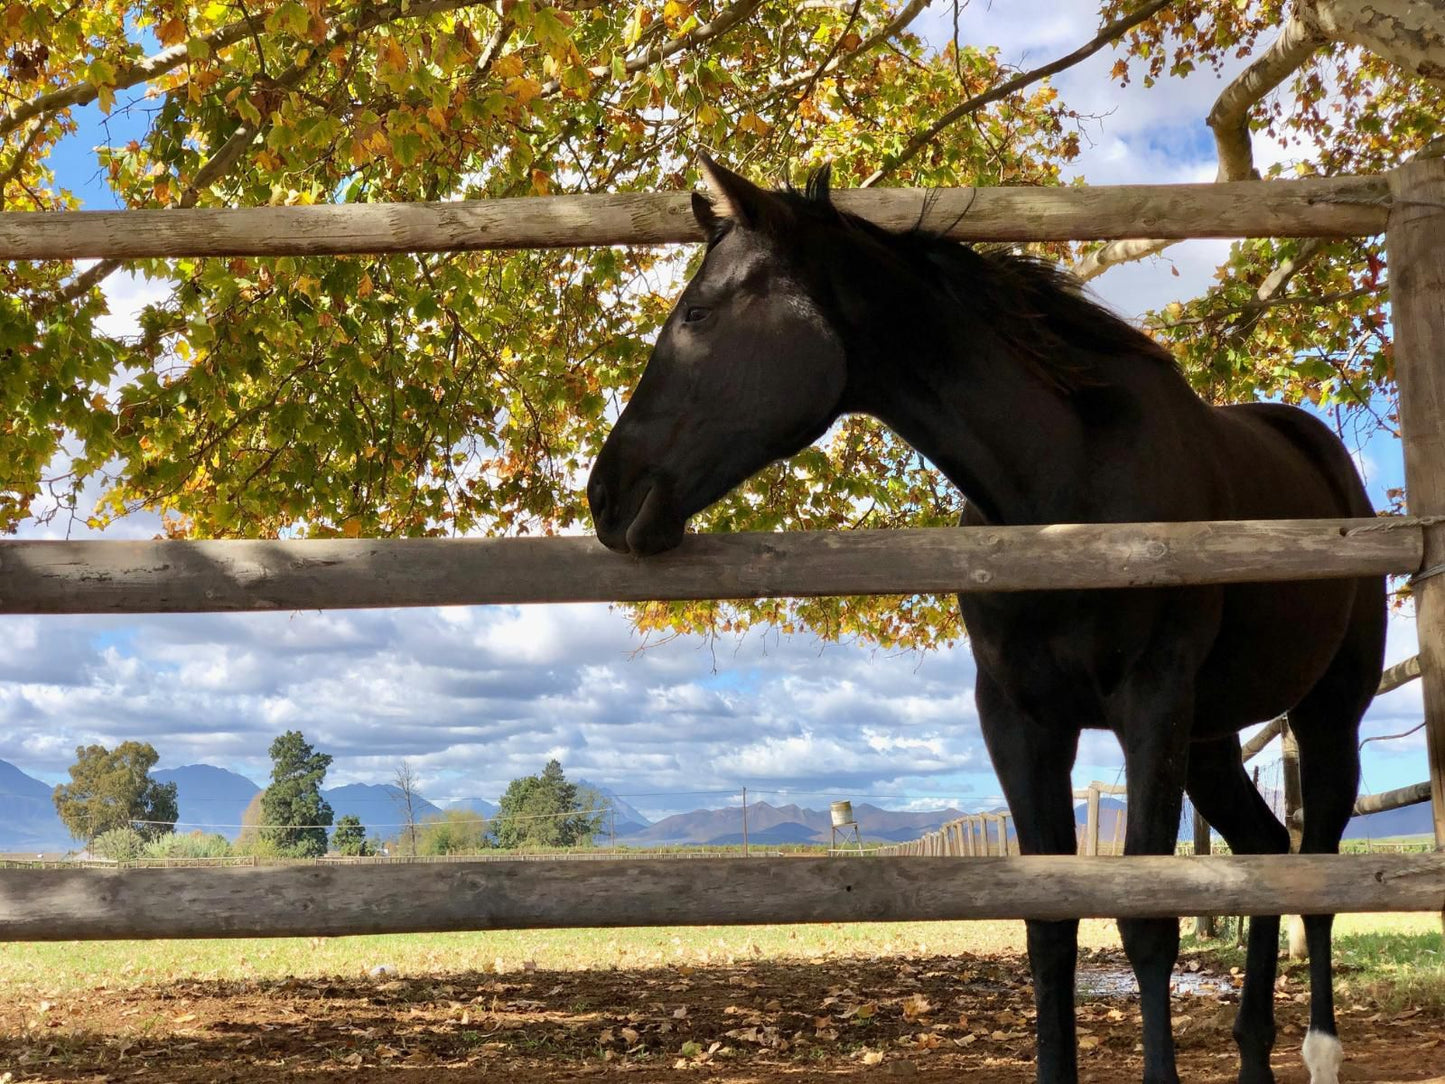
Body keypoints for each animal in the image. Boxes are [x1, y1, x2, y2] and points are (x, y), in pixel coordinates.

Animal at [586, 158, 1387, 1084]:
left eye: (697, 315)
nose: (605, 496)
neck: (1063, 489)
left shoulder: (1148, 703)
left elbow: (1147, 922)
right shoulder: (1019, 719)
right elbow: (1048, 926)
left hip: (1323, 716)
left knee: (1317, 871)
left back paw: (1319, 1048)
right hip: (1209, 742)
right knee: (1263, 855)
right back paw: (1253, 1051)